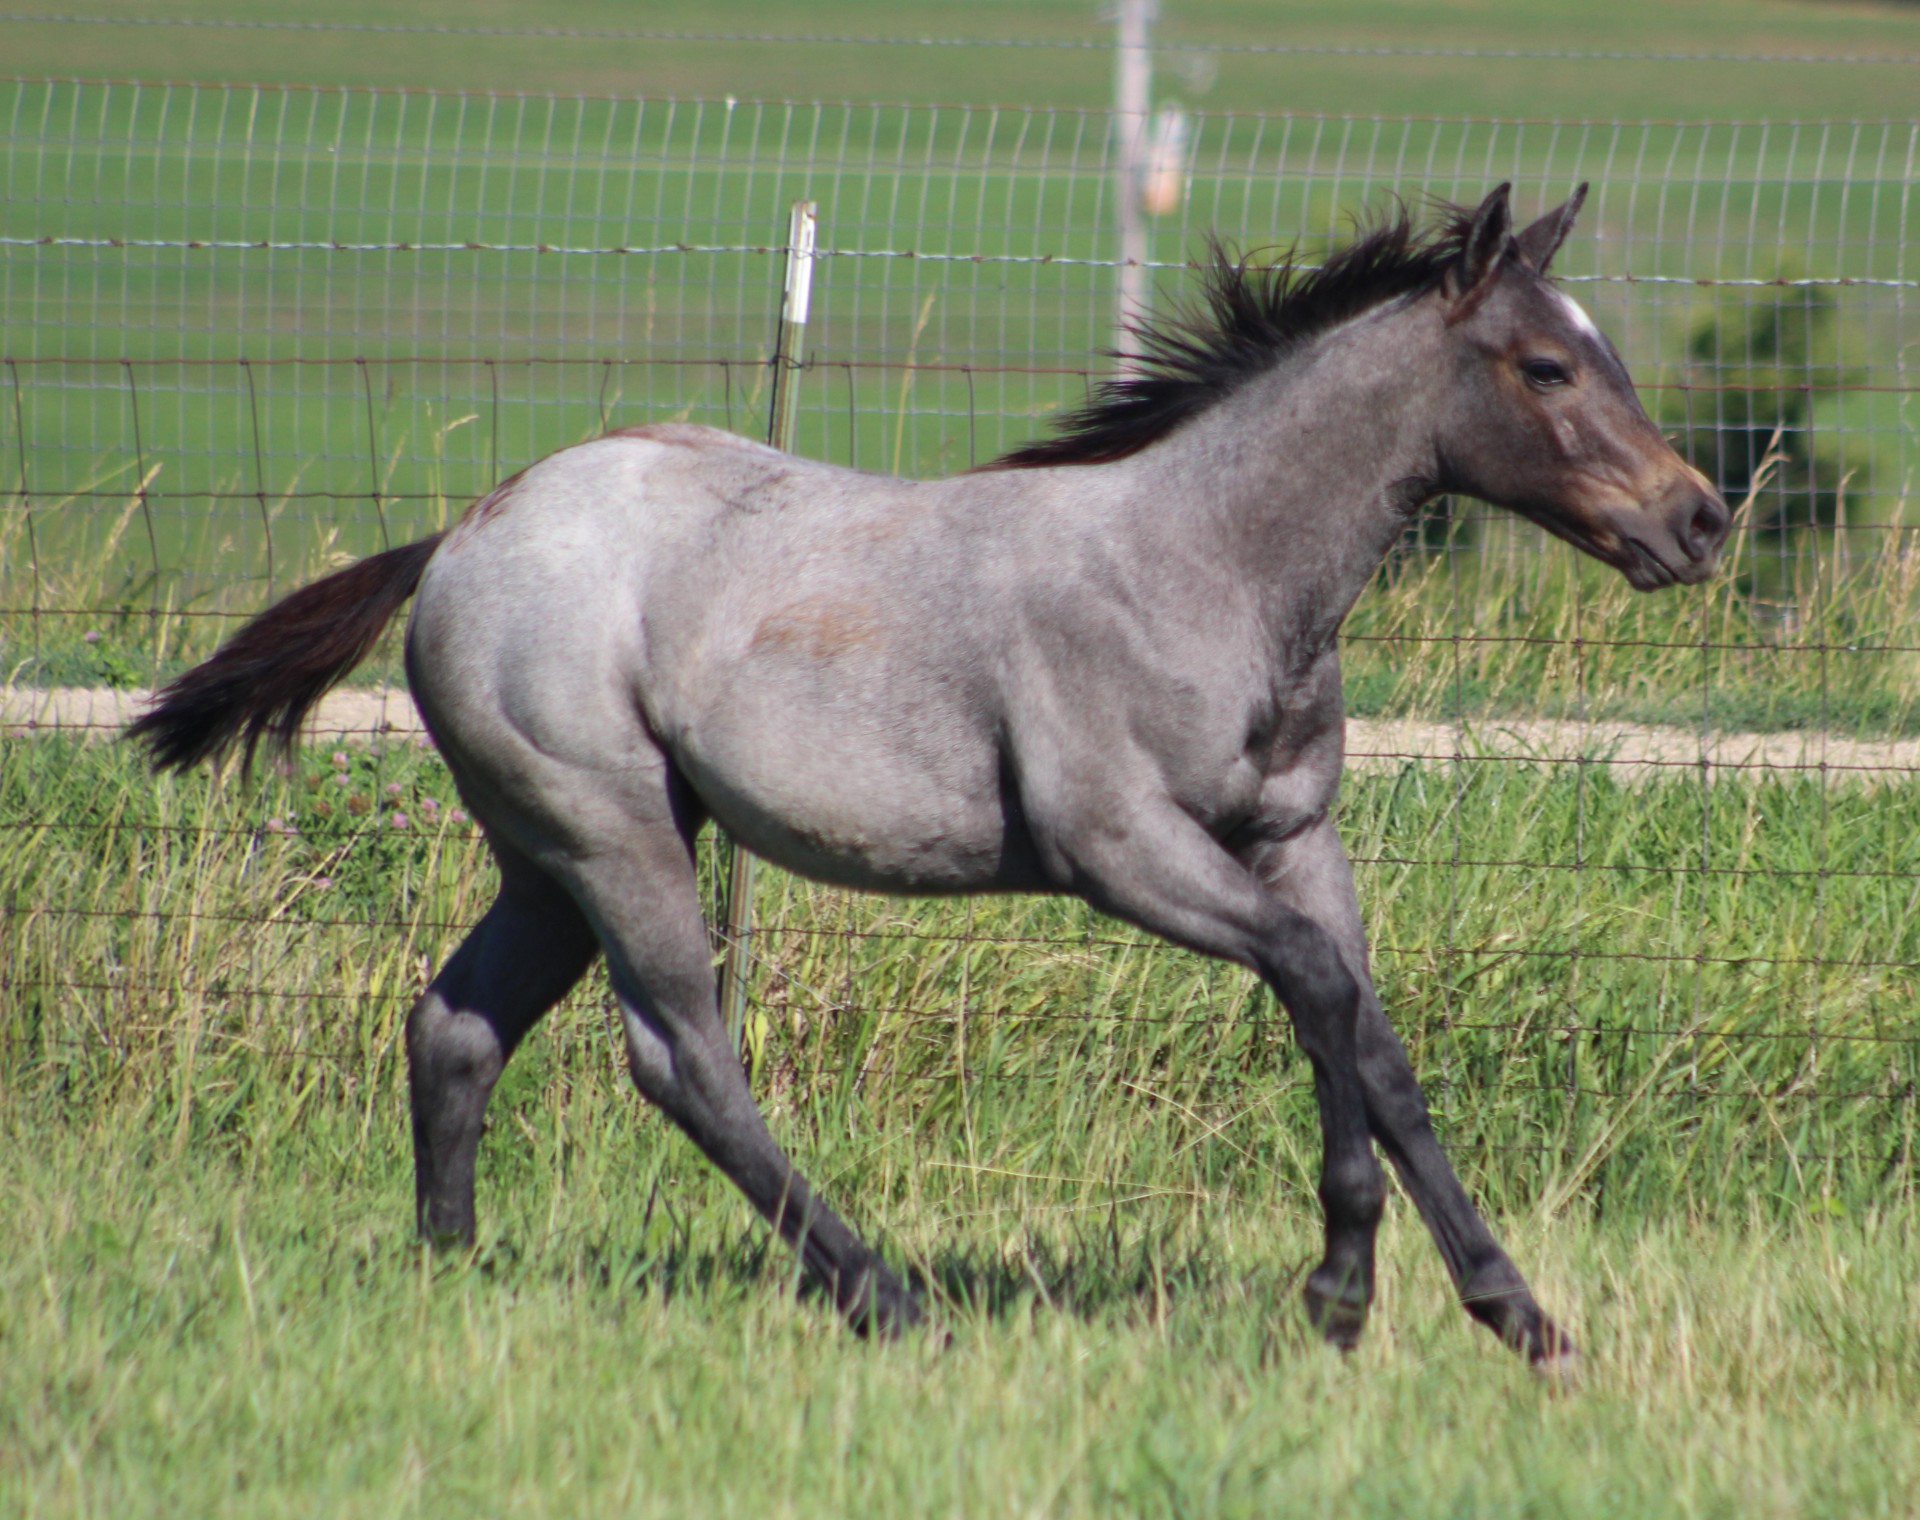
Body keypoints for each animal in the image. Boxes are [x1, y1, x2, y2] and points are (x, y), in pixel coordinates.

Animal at [131, 184, 1728, 1374]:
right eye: (1545, 367)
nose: (1701, 520)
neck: (1206, 565)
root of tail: (462, 534)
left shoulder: (1293, 841)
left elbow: (1375, 1044)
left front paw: (1514, 1313)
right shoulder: (1123, 852)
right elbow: (1320, 992)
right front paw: (1341, 1290)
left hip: (545, 858)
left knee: (456, 1028)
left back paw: (451, 1277)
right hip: (613, 836)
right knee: (682, 1057)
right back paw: (889, 1300)